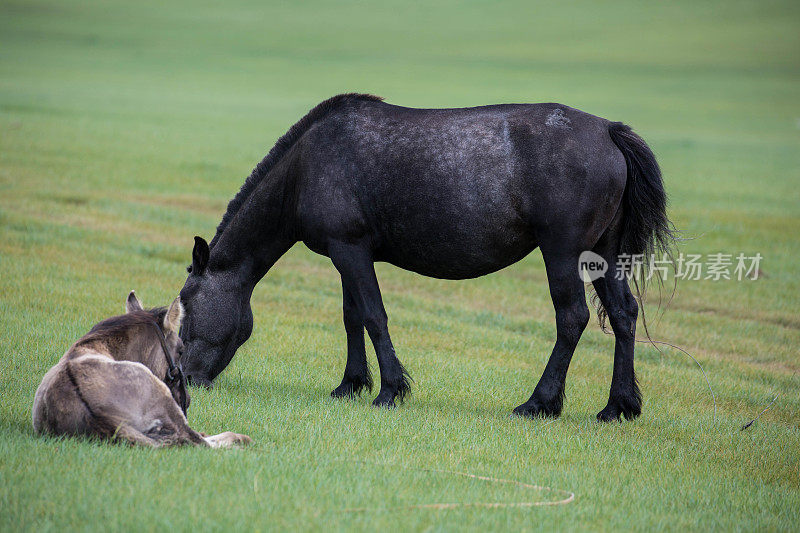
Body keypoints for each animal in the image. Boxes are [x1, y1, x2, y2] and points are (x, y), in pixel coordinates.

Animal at [178, 93, 672, 422]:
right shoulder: (347, 253)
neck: (304, 168)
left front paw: (389, 390)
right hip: (604, 254)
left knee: (572, 317)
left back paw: (540, 402)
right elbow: (352, 317)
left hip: (563, 252)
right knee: (624, 315)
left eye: (182, 319)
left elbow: (373, 317)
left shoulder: (350, 251)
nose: (186, 379)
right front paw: (351, 384)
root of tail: (609, 130)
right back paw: (618, 406)